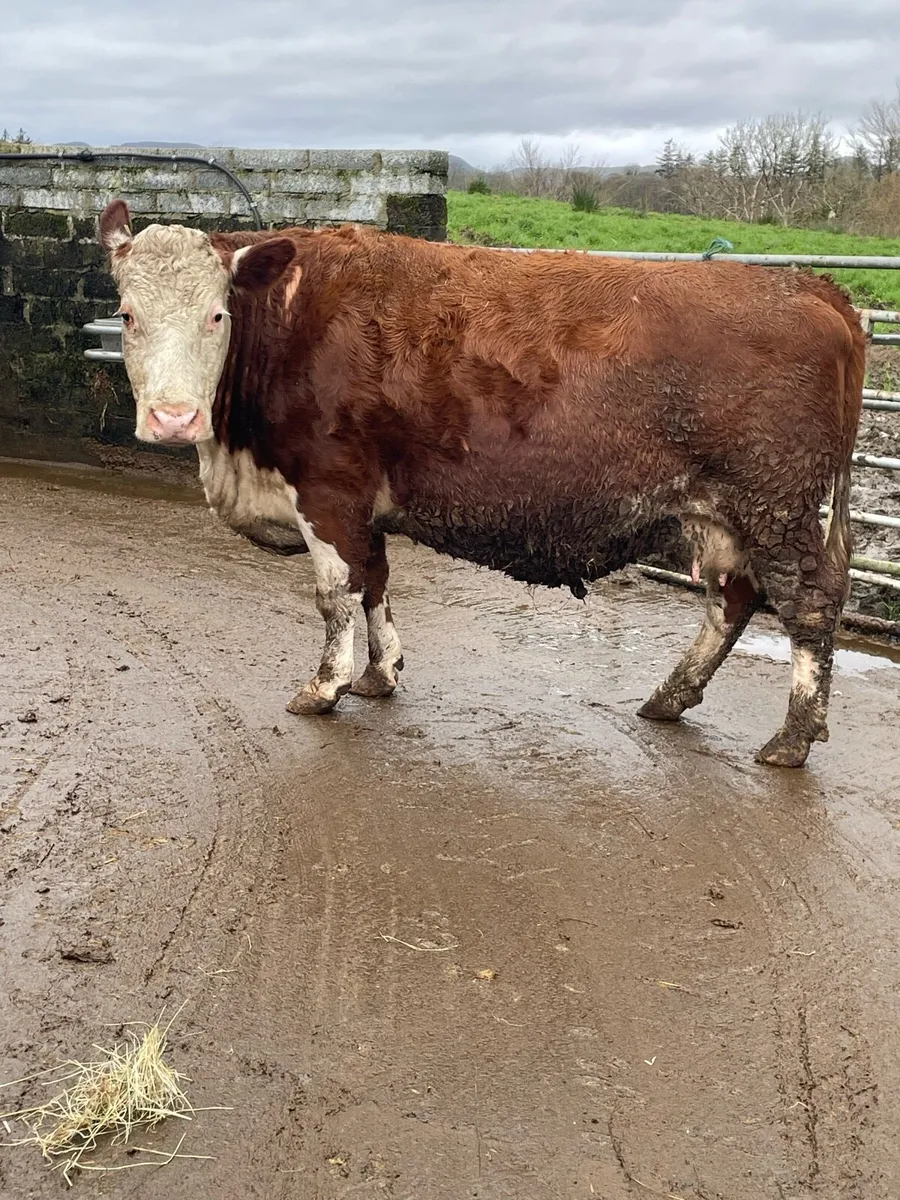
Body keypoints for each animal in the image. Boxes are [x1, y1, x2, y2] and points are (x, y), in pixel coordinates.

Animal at [98, 198, 865, 768]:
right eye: (128, 316)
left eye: (217, 315)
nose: (173, 417)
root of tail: (810, 286)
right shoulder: (366, 503)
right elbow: (376, 583)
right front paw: (379, 675)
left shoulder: (329, 490)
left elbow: (336, 595)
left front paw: (324, 686)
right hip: (730, 516)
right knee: (734, 601)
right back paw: (670, 697)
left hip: (778, 506)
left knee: (809, 605)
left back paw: (791, 738)